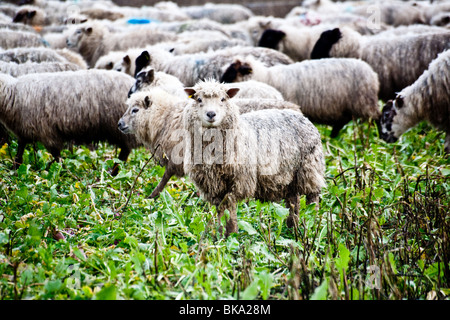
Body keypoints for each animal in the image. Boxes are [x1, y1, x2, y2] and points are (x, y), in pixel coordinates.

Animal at [0, 70, 140, 175]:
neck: (13, 94)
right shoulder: (24, 133)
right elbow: (19, 154)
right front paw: (14, 170)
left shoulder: (48, 134)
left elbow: (57, 157)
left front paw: (62, 172)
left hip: (123, 128)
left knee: (125, 151)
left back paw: (114, 172)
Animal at [181, 79, 326, 236]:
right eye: (198, 99)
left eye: (223, 99)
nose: (211, 114)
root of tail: (302, 116)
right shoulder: (213, 184)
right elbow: (221, 210)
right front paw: (221, 235)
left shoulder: (239, 180)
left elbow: (229, 206)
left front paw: (231, 234)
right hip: (289, 176)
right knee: (293, 200)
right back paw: (292, 228)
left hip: (310, 167)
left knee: (313, 196)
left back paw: (312, 223)